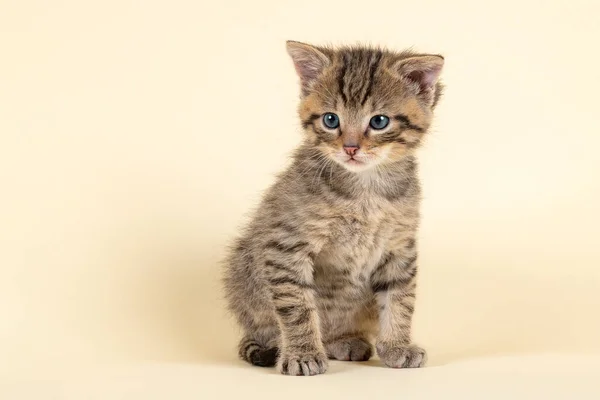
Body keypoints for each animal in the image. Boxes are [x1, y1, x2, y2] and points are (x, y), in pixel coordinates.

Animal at [220, 40, 440, 376]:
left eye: (379, 121)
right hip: (244, 271)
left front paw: (396, 346)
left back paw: (343, 340)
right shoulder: (285, 246)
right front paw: (302, 353)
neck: (365, 188)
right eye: (330, 120)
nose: (350, 147)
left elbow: (399, 299)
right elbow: (297, 306)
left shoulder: (399, 246)